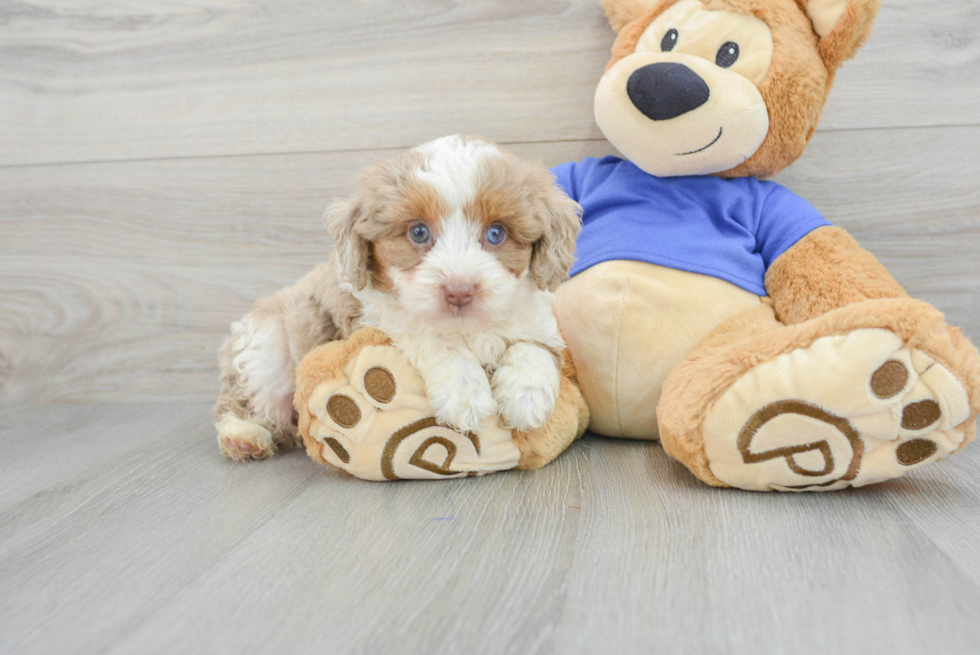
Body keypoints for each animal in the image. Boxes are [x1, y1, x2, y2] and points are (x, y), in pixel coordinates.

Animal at [214, 135, 580, 462]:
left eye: (496, 233)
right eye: (418, 232)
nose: (459, 290)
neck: (466, 325)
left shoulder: (538, 321)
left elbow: (532, 347)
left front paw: (526, 398)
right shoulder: (377, 318)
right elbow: (432, 336)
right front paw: (464, 392)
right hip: (263, 349)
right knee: (244, 401)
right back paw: (243, 435)